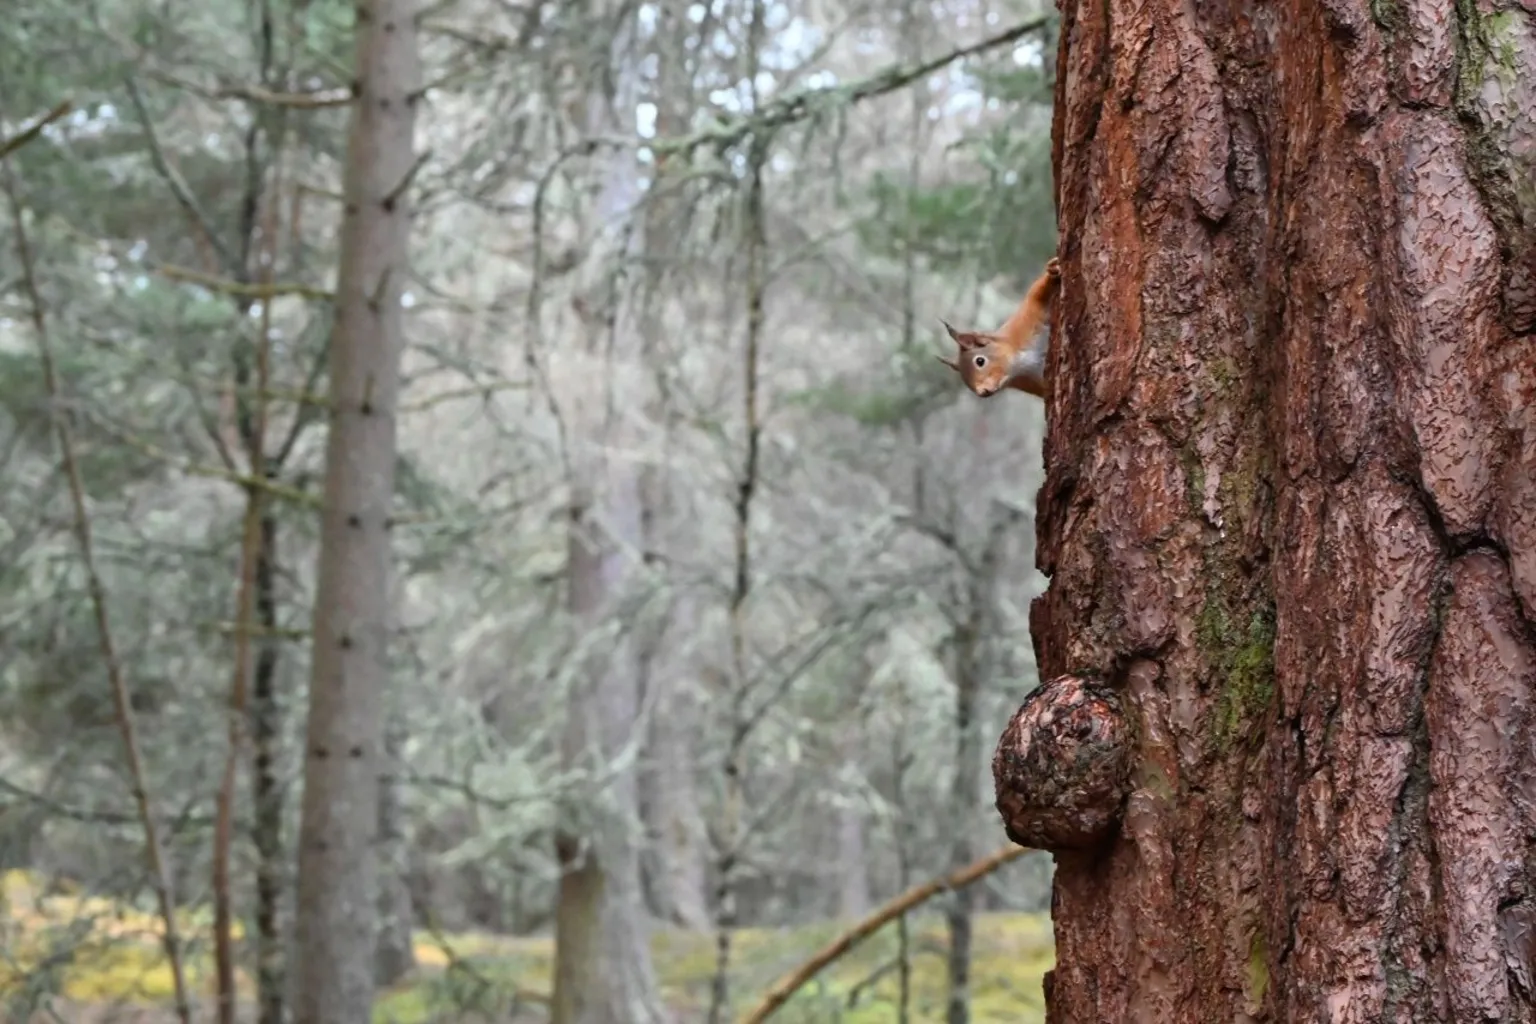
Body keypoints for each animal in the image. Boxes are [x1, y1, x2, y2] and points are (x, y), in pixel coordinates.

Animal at [939, 256, 1060, 399]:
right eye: (964, 379)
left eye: (980, 361)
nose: (982, 392)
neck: (1019, 363)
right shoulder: (1031, 382)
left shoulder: (1026, 320)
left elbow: (1037, 295)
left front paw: (1050, 271)